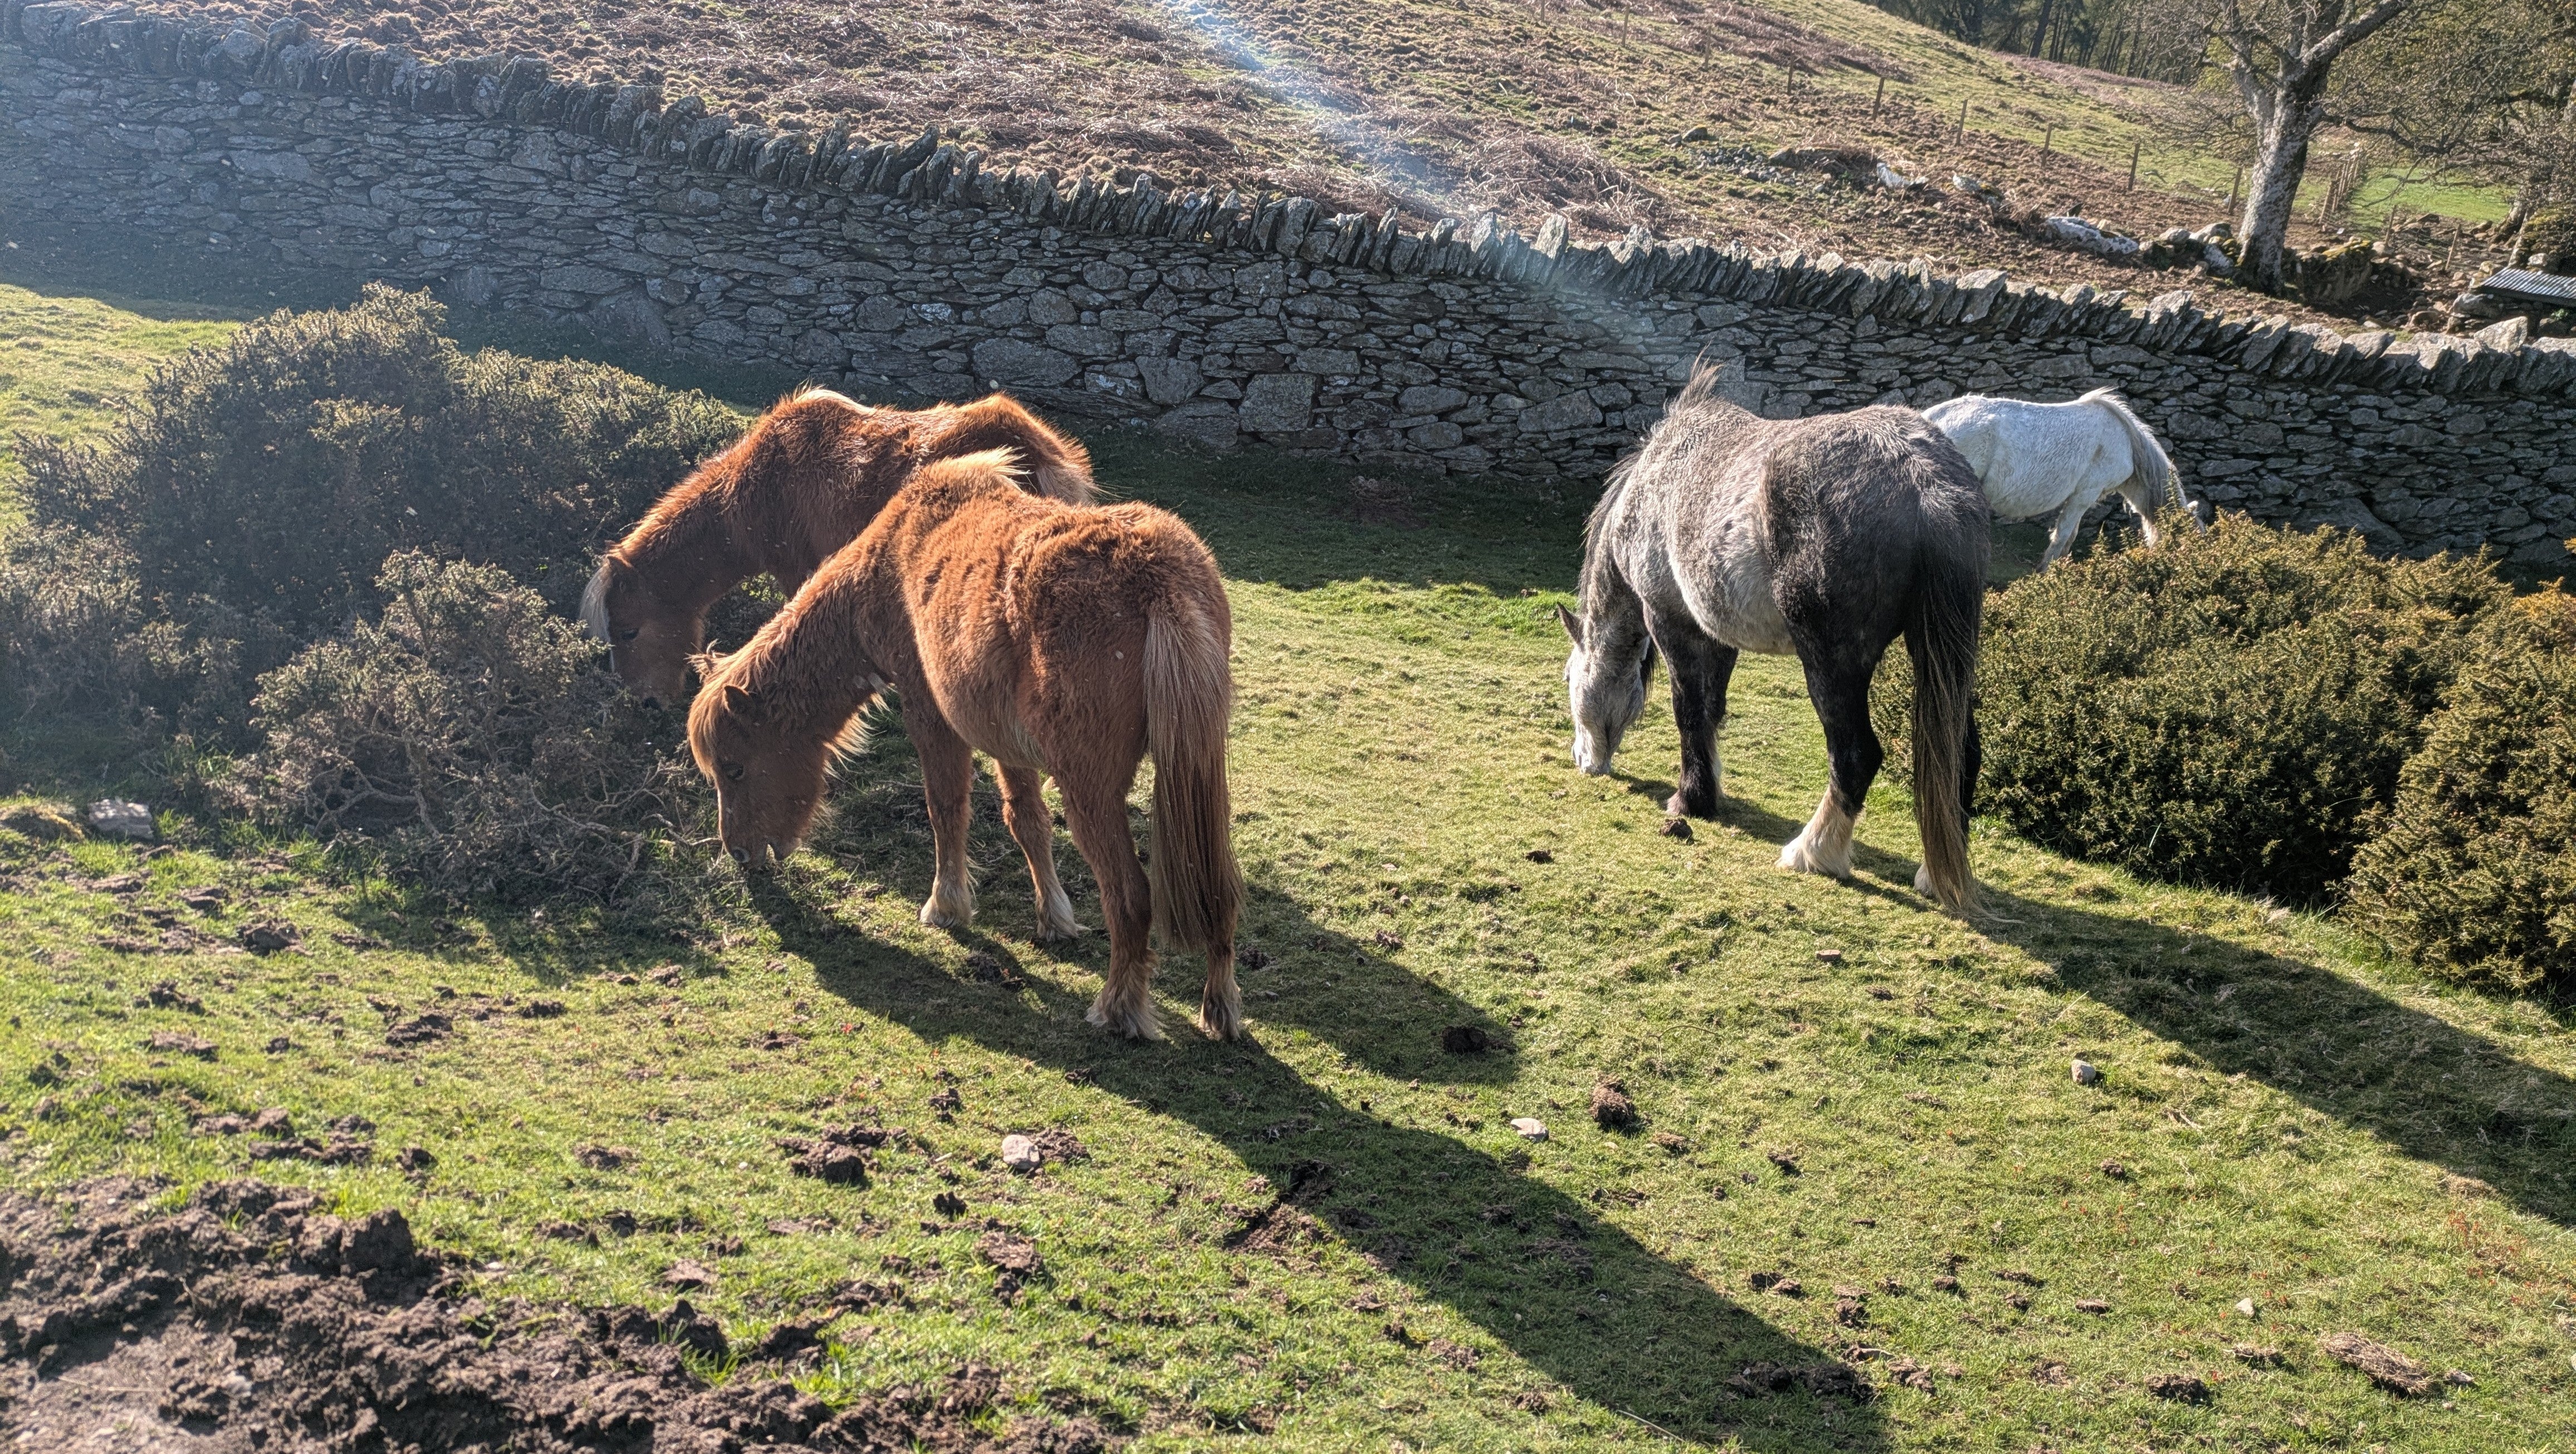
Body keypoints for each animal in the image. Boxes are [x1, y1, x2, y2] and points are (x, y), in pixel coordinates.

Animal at [687, 449, 1246, 1041]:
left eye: (734, 768)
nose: (739, 852)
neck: (894, 557)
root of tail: (1156, 581)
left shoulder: (932, 718)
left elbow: (946, 811)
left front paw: (946, 905)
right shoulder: (1005, 740)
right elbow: (1026, 820)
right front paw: (1054, 918)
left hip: (1089, 792)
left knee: (1130, 897)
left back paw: (1119, 1008)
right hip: (1198, 778)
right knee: (1215, 890)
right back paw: (1219, 1007)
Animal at [1560, 365, 1989, 911]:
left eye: (1570, 677)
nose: (1584, 761)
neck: (1656, 479)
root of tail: (1922, 477)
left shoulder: (1672, 622)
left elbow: (1688, 711)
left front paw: (1689, 801)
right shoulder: (1716, 635)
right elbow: (1712, 711)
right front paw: (1708, 790)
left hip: (1832, 664)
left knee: (1855, 755)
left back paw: (1813, 852)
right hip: (1941, 657)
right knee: (1962, 754)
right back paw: (1933, 877)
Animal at [1921, 388, 2195, 568]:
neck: (2126, 440)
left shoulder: (2081, 499)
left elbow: (2069, 537)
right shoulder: (2084, 496)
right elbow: (2062, 537)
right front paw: (2046, 573)